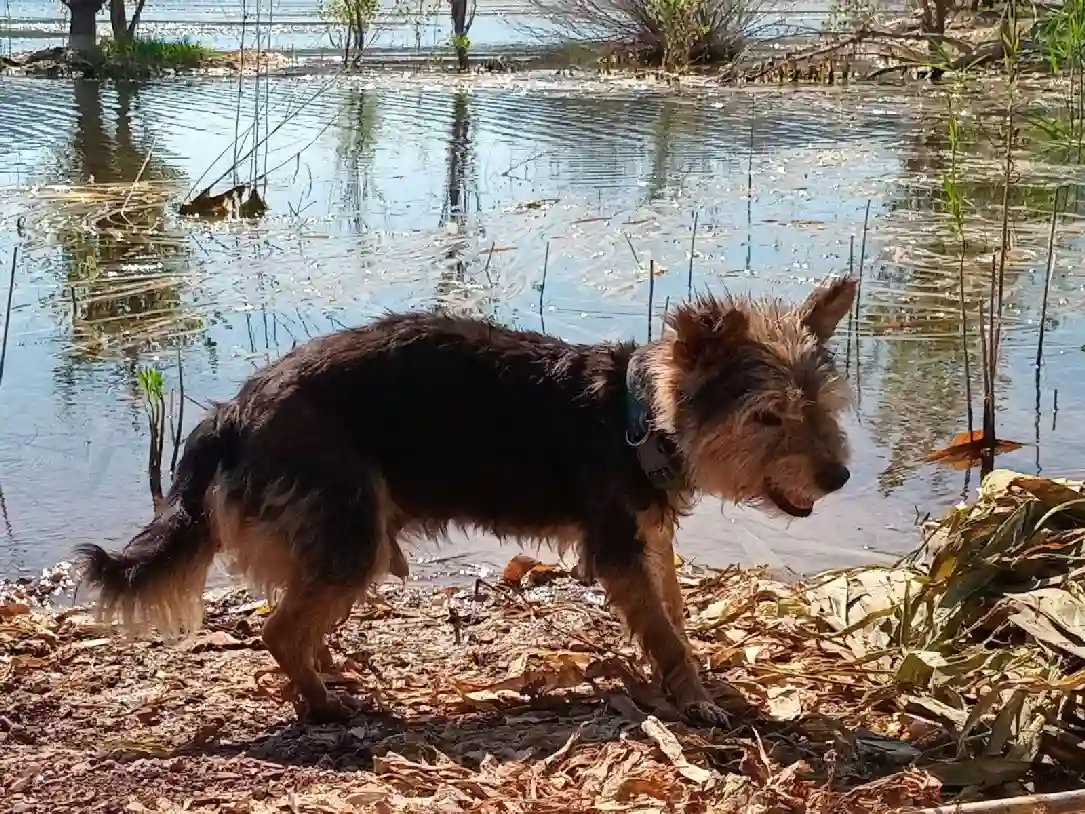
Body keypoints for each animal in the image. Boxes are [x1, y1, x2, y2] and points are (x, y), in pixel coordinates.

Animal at [76, 275, 854, 725]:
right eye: (766, 416)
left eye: (822, 406)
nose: (840, 478)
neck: (636, 416)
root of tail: (230, 414)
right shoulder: (618, 550)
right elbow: (663, 633)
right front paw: (693, 701)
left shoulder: (651, 540)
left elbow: (679, 617)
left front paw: (698, 681)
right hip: (349, 531)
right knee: (278, 631)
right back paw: (324, 704)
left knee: (297, 621)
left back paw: (326, 674)